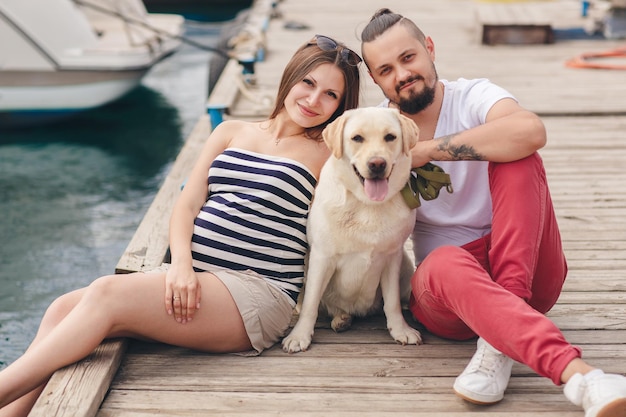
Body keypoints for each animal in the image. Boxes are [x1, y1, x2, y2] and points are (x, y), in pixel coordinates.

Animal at [282, 106, 420, 352]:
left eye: (390, 137)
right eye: (357, 138)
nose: (377, 164)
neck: (367, 204)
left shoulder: (392, 257)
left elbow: (392, 302)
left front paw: (400, 330)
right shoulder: (322, 257)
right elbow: (311, 303)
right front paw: (300, 335)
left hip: (405, 263)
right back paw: (340, 318)